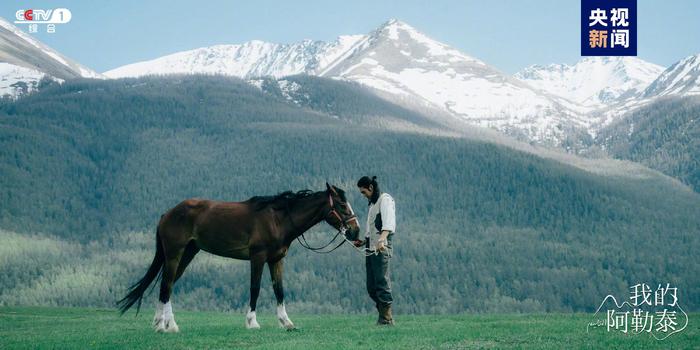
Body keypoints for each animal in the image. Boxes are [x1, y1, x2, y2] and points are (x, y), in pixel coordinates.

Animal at [117, 182, 358, 332]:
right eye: (342, 205)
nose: (355, 232)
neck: (278, 219)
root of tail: (167, 214)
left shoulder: (276, 260)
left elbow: (279, 290)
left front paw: (286, 322)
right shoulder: (258, 257)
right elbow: (255, 288)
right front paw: (252, 322)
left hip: (187, 254)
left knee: (166, 286)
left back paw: (160, 323)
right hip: (175, 254)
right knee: (167, 285)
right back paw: (170, 325)